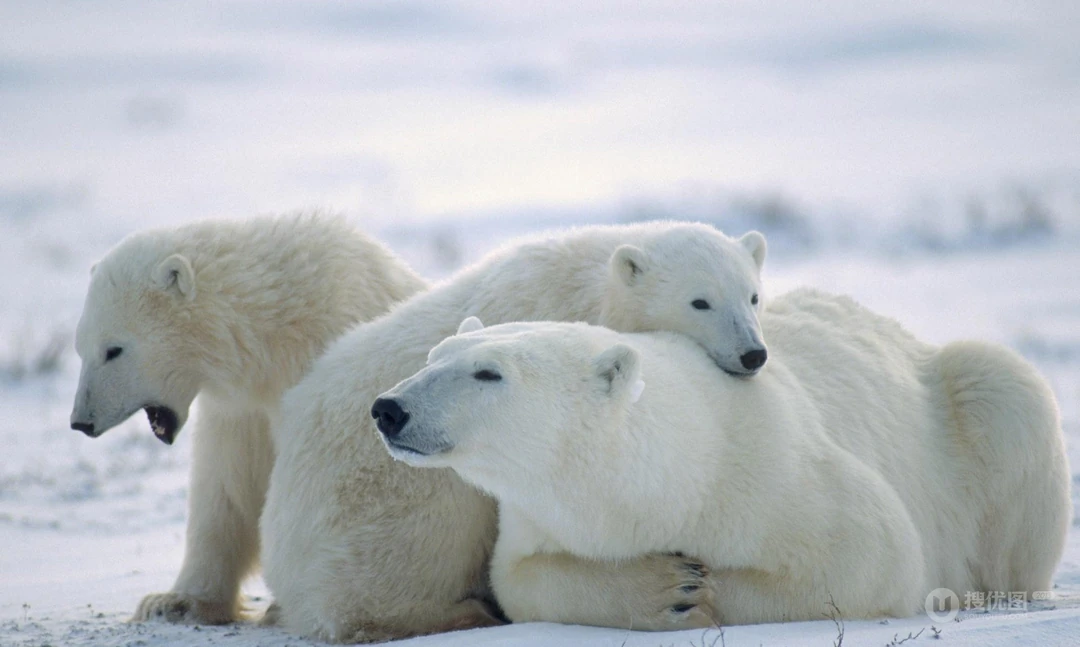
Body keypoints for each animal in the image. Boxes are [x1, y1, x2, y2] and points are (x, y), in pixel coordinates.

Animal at [68, 213, 427, 625]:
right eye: (79, 348)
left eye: (114, 350)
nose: (81, 421)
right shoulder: (240, 411)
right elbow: (226, 487)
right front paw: (173, 601)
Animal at [259, 221, 768, 642]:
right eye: (700, 301)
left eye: (753, 296)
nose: (753, 354)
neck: (591, 285)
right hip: (378, 505)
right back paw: (462, 613)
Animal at [373, 294, 1072, 630]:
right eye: (435, 354)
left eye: (488, 373)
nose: (388, 408)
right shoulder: (537, 517)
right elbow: (521, 579)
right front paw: (668, 590)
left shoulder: (775, 473)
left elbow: (871, 558)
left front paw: (701, 590)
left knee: (1003, 388)